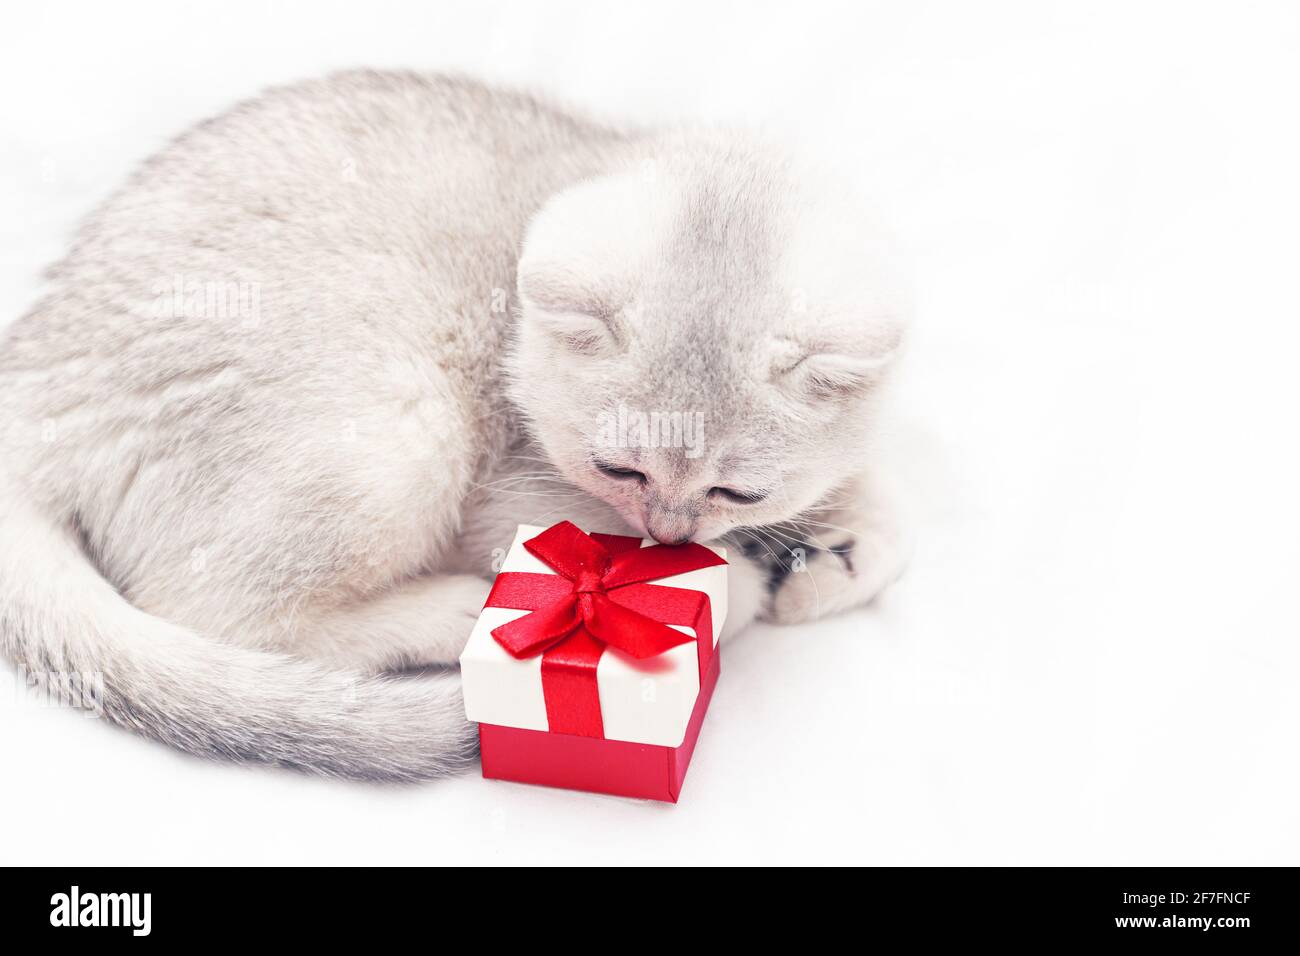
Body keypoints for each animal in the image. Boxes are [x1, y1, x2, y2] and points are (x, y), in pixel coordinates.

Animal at [0, 72, 909, 780]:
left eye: (737, 490)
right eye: (619, 471)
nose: (667, 532)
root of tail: (34, 374)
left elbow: (887, 498)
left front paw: (836, 546)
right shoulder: (509, 495)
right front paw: (752, 580)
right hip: (403, 424)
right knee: (215, 611)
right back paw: (453, 610)